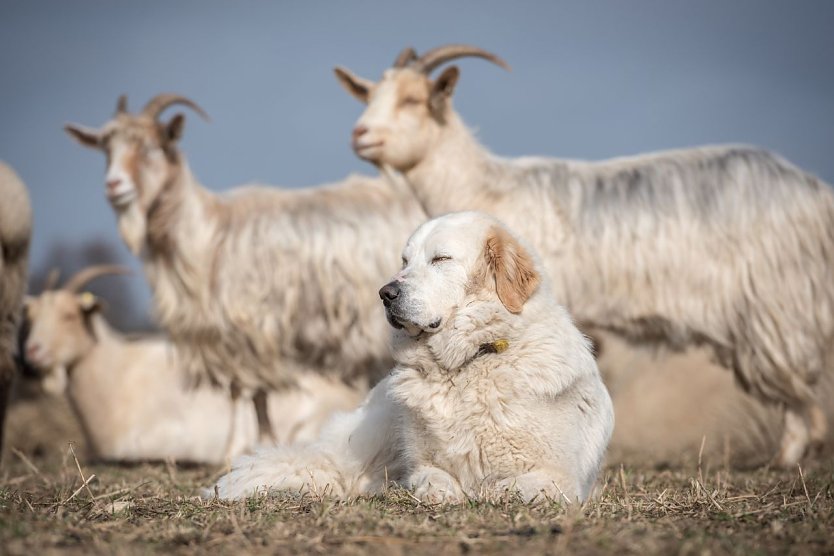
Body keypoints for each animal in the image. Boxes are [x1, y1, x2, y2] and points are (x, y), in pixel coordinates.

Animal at [63, 94, 422, 444]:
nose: (114, 185)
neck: (205, 234)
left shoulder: (250, 326)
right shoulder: (225, 334)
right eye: (106, 149)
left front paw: (243, 446)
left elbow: (249, 392)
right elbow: (242, 393)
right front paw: (249, 443)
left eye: (152, 147)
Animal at [208, 212, 612, 504]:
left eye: (441, 259)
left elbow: (517, 487)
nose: (385, 293)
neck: (465, 363)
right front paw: (440, 493)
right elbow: (430, 478)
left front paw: (488, 492)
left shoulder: (561, 477)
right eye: (404, 260)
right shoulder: (423, 463)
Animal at [334, 45, 832, 466]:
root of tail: (814, 191)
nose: (360, 135)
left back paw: (788, 457)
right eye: (369, 96)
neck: (488, 189)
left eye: (414, 100)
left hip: (773, 306)